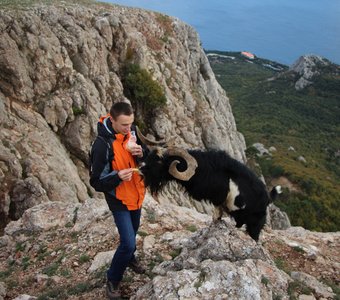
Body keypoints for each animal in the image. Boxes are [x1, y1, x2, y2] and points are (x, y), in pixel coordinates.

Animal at [139, 148, 282, 241]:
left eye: (160, 162)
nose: (141, 169)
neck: (206, 168)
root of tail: (268, 198)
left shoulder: (219, 197)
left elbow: (217, 212)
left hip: (255, 222)